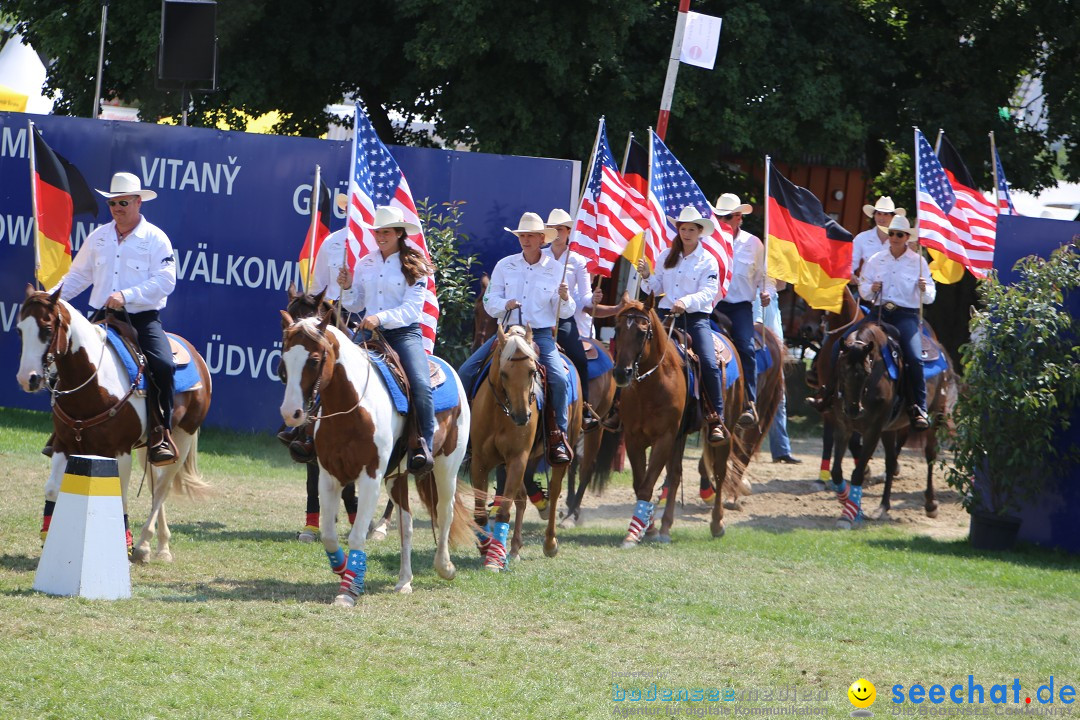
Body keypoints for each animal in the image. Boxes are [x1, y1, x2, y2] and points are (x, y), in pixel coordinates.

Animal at [280, 313, 475, 604]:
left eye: (314, 359)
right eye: (283, 361)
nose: (290, 413)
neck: (352, 409)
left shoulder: (370, 477)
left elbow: (357, 535)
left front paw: (348, 592)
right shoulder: (329, 476)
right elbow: (328, 536)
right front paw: (344, 570)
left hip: (446, 467)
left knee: (445, 512)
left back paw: (445, 567)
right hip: (397, 476)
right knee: (407, 523)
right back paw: (404, 581)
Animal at [466, 325, 583, 569]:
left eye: (531, 371)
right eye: (503, 373)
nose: (522, 416)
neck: (499, 413)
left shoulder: (518, 458)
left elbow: (503, 512)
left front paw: (493, 560)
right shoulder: (480, 461)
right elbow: (481, 512)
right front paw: (486, 548)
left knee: (554, 491)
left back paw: (549, 543)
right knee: (521, 497)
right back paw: (514, 548)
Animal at [613, 295, 747, 544]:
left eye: (642, 332)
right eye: (617, 329)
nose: (621, 373)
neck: (651, 385)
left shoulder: (664, 438)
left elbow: (646, 485)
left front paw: (634, 533)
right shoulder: (634, 438)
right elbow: (640, 483)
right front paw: (649, 528)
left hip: (726, 430)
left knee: (720, 473)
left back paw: (717, 524)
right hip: (680, 436)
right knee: (675, 476)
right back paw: (665, 528)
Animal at [825, 317, 954, 528]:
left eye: (866, 372)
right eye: (841, 370)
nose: (853, 410)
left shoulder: (873, 430)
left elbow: (857, 473)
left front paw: (848, 515)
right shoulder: (843, 427)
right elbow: (836, 472)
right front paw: (849, 504)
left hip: (935, 416)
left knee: (930, 455)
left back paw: (931, 504)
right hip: (890, 429)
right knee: (891, 462)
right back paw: (883, 507)